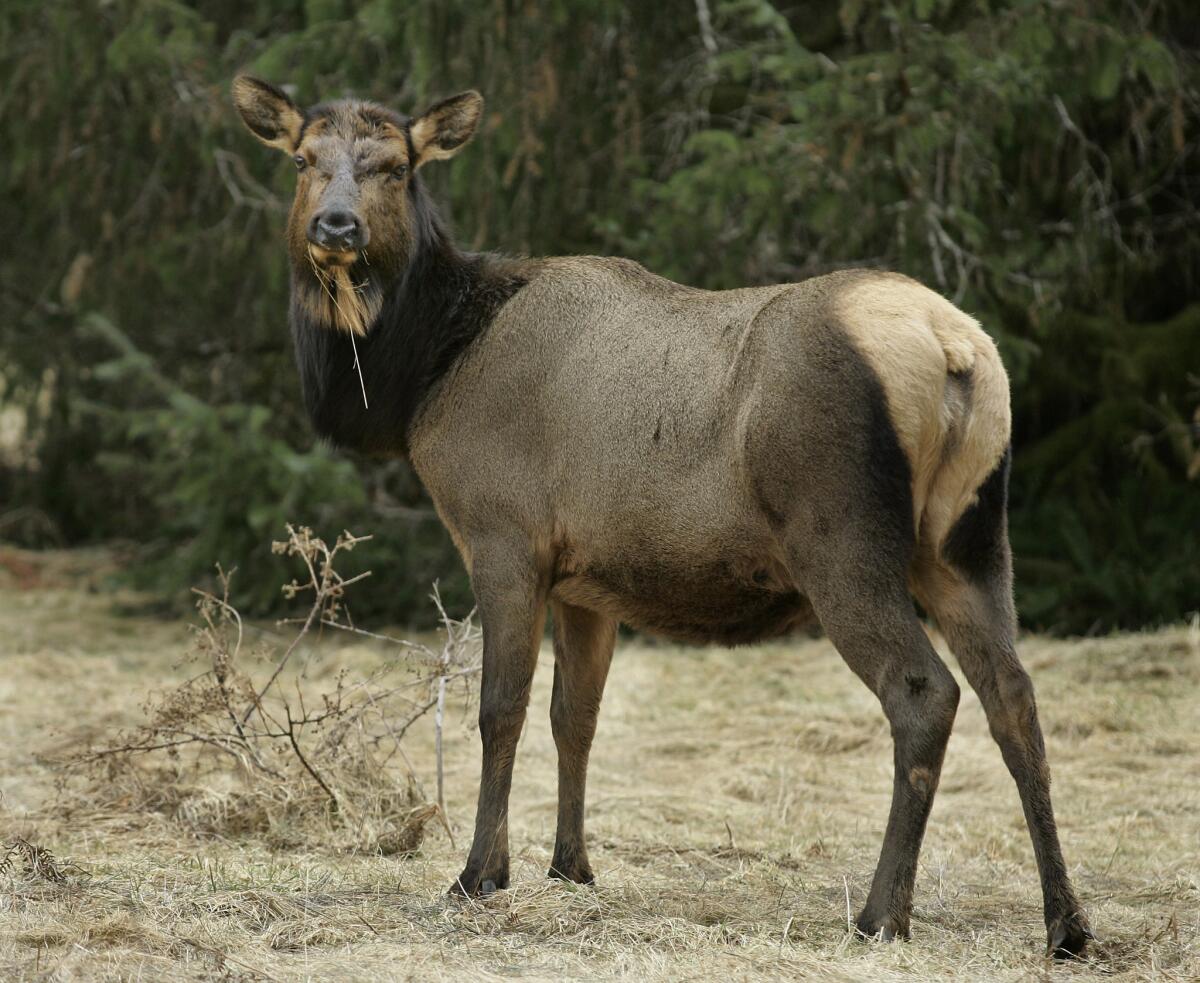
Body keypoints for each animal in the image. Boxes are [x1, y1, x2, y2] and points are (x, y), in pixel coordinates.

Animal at [231, 78, 1089, 960]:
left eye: (396, 167)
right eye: (303, 159)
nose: (337, 226)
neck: (424, 378)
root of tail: (956, 350)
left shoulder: (503, 534)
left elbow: (500, 707)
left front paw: (478, 874)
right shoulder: (584, 577)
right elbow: (574, 715)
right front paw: (570, 866)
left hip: (841, 536)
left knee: (923, 692)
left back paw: (882, 913)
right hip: (968, 541)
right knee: (1014, 696)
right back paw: (1066, 922)